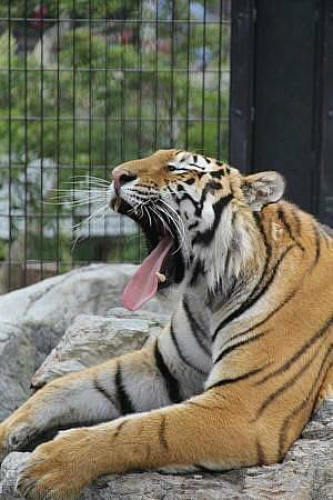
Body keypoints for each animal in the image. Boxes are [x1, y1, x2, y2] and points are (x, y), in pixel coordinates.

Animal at [0, 149, 330, 500]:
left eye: (177, 169)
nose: (116, 176)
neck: (209, 296)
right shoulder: (163, 366)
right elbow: (65, 385)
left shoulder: (243, 404)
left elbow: (149, 428)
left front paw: (51, 464)